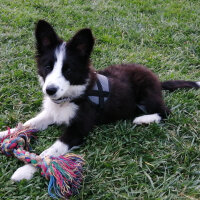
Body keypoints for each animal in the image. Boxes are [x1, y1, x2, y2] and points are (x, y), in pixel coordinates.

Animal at [0, 20, 200, 181]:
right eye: (48, 66)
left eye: (68, 70)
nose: (50, 90)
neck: (71, 97)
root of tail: (157, 80)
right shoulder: (51, 113)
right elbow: (26, 124)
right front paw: (5, 134)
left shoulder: (78, 128)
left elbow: (49, 152)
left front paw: (27, 169)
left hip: (147, 95)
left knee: (165, 112)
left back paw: (143, 119)